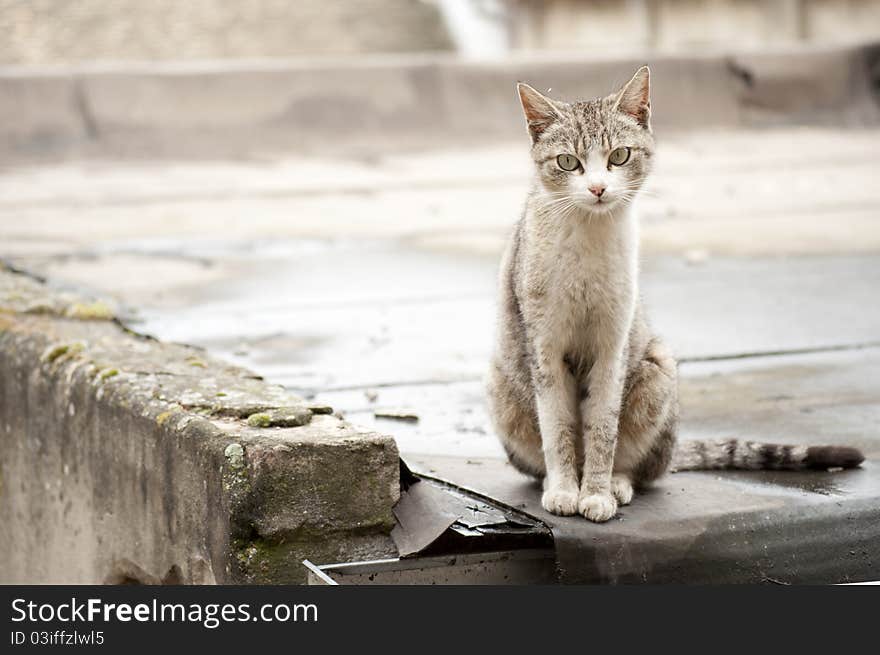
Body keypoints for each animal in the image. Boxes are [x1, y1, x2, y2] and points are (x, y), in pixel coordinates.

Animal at [484, 68, 864, 524]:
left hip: (657, 370)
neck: (588, 238)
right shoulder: (543, 347)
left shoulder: (613, 347)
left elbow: (603, 429)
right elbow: (557, 428)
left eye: (619, 156)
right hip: (502, 385)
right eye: (567, 162)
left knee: (644, 466)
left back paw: (618, 482)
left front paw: (596, 492)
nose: (597, 189)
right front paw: (564, 490)